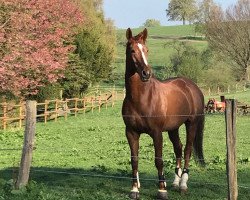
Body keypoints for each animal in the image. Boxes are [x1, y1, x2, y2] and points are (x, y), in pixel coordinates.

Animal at [121, 27, 205, 198]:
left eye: (146, 50)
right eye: (132, 50)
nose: (146, 73)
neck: (141, 98)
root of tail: (192, 86)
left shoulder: (156, 132)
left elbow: (158, 160)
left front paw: (161, 190)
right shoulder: (131, 132)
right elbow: (134, 160)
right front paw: (134, 189)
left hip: (191, 124)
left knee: (187, 150)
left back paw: (183, 184)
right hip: (174, 128)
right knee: (178, 148)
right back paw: (175, 182)